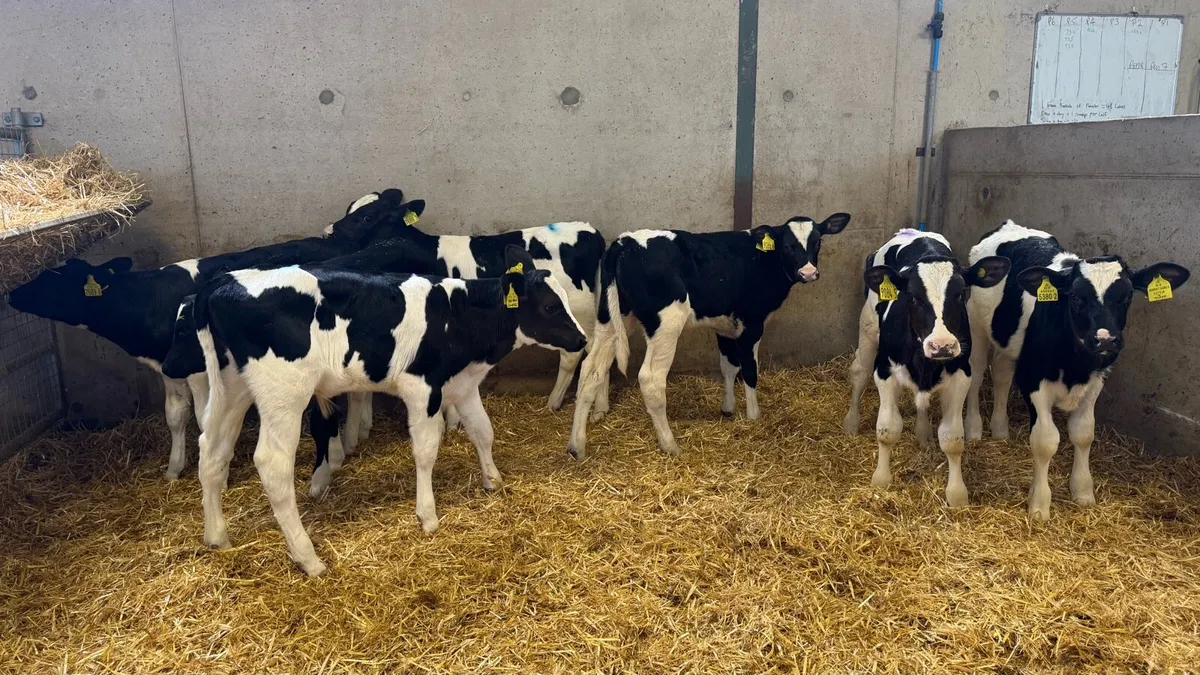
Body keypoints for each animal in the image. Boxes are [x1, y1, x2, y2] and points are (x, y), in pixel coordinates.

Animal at [6, 188, 421, 480]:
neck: (150, 298)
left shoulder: (196, 367)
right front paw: (174, 468)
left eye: (51, 280)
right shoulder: (167, 365)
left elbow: (204, 418)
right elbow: (175, 415)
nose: (12, 293)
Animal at [192, 246, 587, 575]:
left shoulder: (462, 383)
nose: (582, 340)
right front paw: (428, 516)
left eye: (566, 300)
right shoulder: (421, 386)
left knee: (212, 450)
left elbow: (483, 431)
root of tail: (223, 282)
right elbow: (426, 450)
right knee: (272, 464)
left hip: (232, 386)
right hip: (284, 393)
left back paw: (217, 537)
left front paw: (493, 479)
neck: (458, 316)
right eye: (551, 307)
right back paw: (308, 558)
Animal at [566, 212, 852, 460]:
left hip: (611, 319)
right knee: (650, 379)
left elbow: (728, 366)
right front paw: (753, 416)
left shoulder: (724, 326)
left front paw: (728, 408)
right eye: (788, 245)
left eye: (818, 241)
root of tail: (625, 241)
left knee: (591, 371)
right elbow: (750, 370)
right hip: (666, 324)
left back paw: (576, 446)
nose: (808, 273)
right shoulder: (752, 323)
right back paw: (670, 445)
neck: (761, 260)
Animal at [841, 229, 1010, 506]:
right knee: (859, 373)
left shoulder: (961, 376)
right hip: (867, 330)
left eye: (961, 294)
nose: (941, 345)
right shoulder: (885, 372)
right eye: (912, 296)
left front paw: (957, 494)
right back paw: (851, 423)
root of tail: (913, 232)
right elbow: (887, 430)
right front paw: (881, 480)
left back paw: (923, 435)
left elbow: (952, 439)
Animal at [964, 219, 1190, 519]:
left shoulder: (1096, 380)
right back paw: (973, 428)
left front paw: (1083, 491)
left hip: (1008, 340)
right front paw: (1039, 504)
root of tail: (1009, 225)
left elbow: (1084, 433)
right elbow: (1046, 440)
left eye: (1127, 296)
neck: (1076, 366)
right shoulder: (1034, 380)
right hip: (975, 322)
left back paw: (1000, 430)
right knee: (977, 372)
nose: (1105, 338)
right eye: (1075, 297)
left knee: (1001, 372)